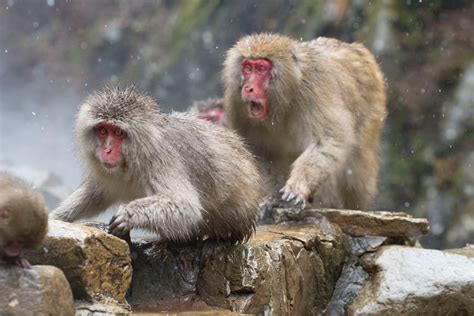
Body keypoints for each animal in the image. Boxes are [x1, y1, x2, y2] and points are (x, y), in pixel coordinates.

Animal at [51, 86, 262, 244]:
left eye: (118, 132)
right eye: (103, 130)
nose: (107, 150)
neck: (132, 160)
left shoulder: (160, 160)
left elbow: (185, 206)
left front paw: (128, 214)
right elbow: (96, 194)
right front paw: (57, 217)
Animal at [222, 33, 386, 211]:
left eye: (260, 69)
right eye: (247, 68)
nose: (248, 88)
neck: (284, 98)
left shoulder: (315, 90)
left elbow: (327, 141)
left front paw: (297, 188)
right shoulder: (236, 103)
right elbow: (260, 153)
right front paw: (270, 198)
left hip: (372, 104)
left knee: (355, 171)